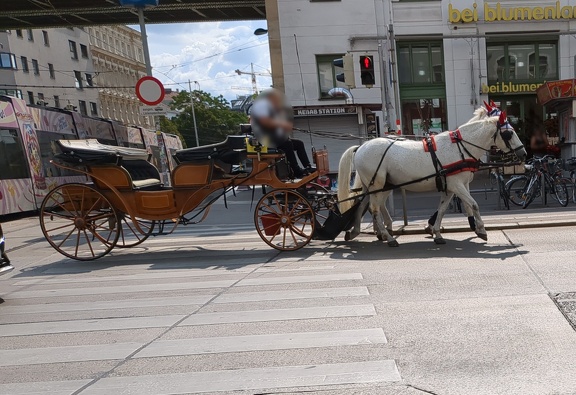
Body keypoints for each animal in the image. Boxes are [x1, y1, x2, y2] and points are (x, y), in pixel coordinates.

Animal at [338, 106, 528, 246]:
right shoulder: (457, 185)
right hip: (377, 185)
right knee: (374, 208)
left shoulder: (452, 187)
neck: (460, 147)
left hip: (377, 185)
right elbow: (473, 204)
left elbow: (444, 209)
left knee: (363, 205)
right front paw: (481, 230)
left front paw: (437, 232)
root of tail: (361, 147)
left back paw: (360, 232)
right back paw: (389, 237)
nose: (524, 153)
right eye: (509, 133)